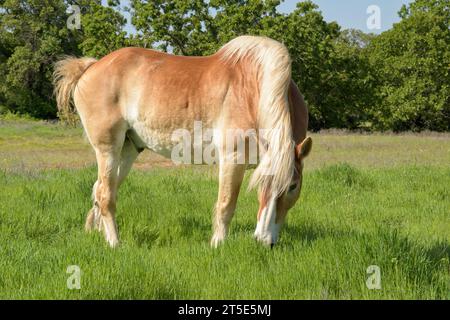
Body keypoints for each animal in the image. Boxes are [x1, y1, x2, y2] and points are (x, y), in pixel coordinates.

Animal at [52, 36, 312, 249]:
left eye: (293, 186)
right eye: (262, 185)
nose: (264, 242)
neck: (253, 89)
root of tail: (90, 67)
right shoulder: (232, 160)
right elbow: (226, 205)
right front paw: (217, 245)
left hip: (127, 150)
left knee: (100, 189)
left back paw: (98, 233)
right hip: (108, 150)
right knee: (106, 195)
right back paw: (115, 243)